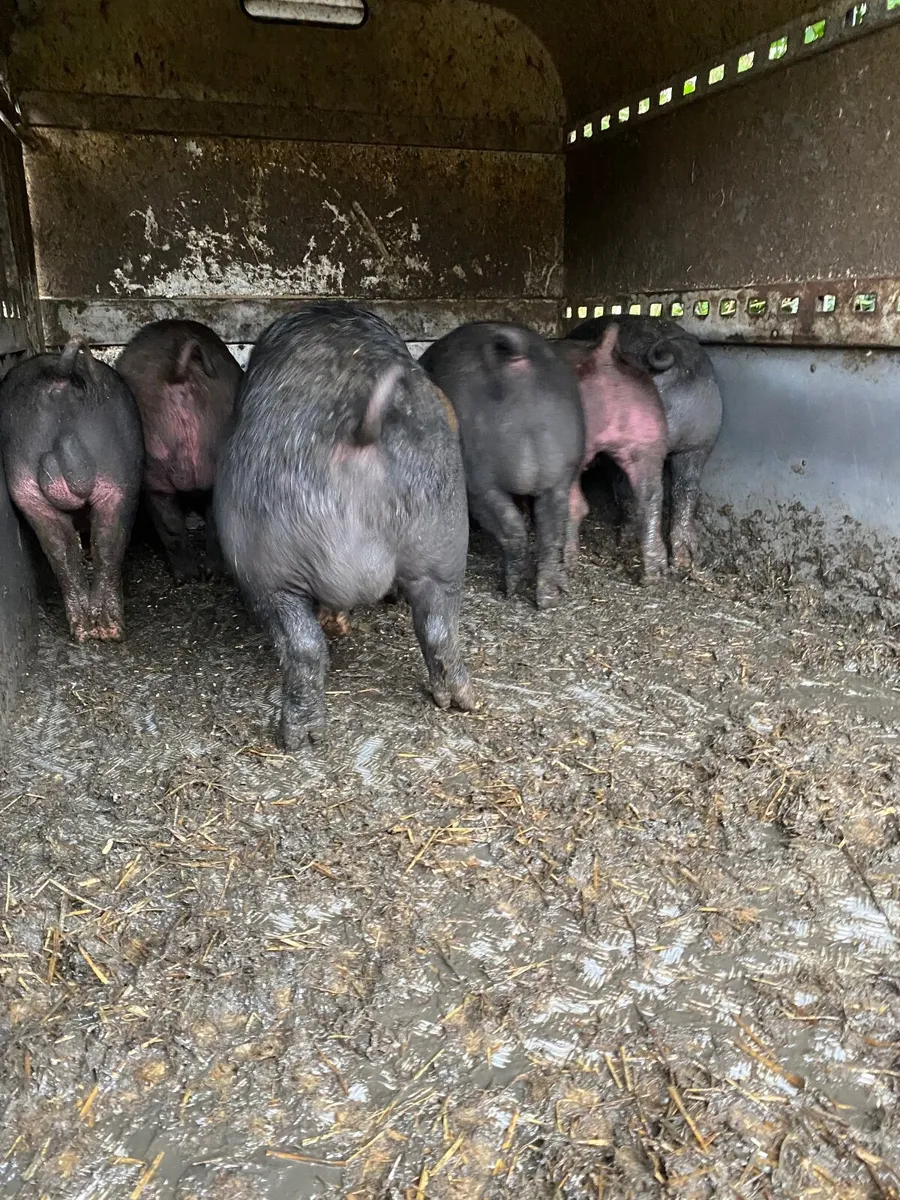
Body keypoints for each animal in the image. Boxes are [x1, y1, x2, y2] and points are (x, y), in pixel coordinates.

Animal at [0, 339, 143, 642]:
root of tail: (61, 376)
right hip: (120, 474)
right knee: (92, 545)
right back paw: (100, 631)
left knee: (75, 547)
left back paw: (93, 630)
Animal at [213, 301, 474, 750]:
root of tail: (360, 433)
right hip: (441, 533)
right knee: (439, 626)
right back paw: (462, 701)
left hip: (268, 563)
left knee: (303, 647)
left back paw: (298, 738)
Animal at [419, 322, 585, 609]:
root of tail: (517, 362)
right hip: (561, 473)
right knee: (551, 530)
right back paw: (549, 596)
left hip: (481, 479)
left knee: (512, 531)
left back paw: (510, 589)